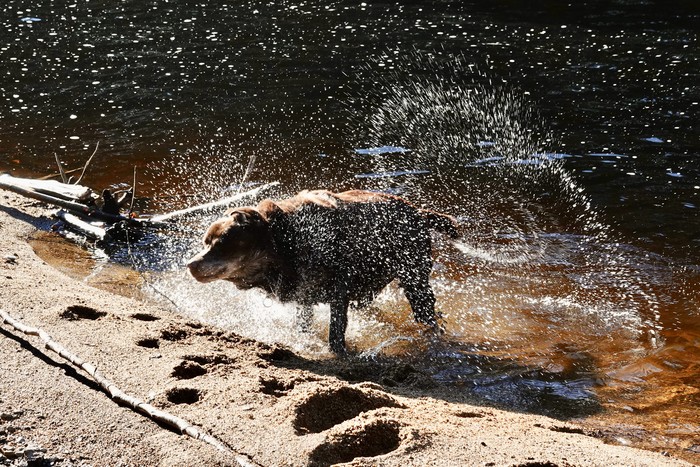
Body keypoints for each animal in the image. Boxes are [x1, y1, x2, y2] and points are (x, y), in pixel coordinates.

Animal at [186, 189, 459, 354]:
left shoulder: (339, 289)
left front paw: (338, 352)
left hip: (414, 278)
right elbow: (304, 323)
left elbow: (336, 329)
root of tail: (420, 213)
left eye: (221, 243)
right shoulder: (304, 292)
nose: (190, 264)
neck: (283, 245)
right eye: (205, 242)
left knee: (425, 311)